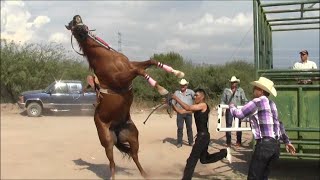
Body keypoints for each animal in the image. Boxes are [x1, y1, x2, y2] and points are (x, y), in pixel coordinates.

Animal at [65, 15, 185, 179]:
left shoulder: (130, 66)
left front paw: (177, 72)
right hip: (107, 141)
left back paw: (145, 174)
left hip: (133, 137)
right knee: (112, 163)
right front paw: (162, 89)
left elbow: (150, 62)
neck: (106, 58)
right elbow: (140, 71)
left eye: (80, 23)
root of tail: (116, 128)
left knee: (134, 156)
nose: (76, 17)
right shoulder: (121, 78)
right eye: (74, 27)